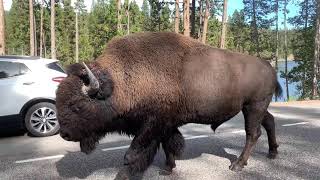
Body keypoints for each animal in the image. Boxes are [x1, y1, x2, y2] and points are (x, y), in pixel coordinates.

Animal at [56, 32, 282, 174]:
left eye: (77, 105)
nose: (64, 134)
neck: (120, 82)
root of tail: (268, 65)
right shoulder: (165, 124)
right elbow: (167, 144)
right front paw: (168, 167)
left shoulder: (151, 124)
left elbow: (136, 150)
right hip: (256, 107)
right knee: (269, 122)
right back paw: (272, 152)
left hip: (253, 106)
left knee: (253, 133)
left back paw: (237, 165)